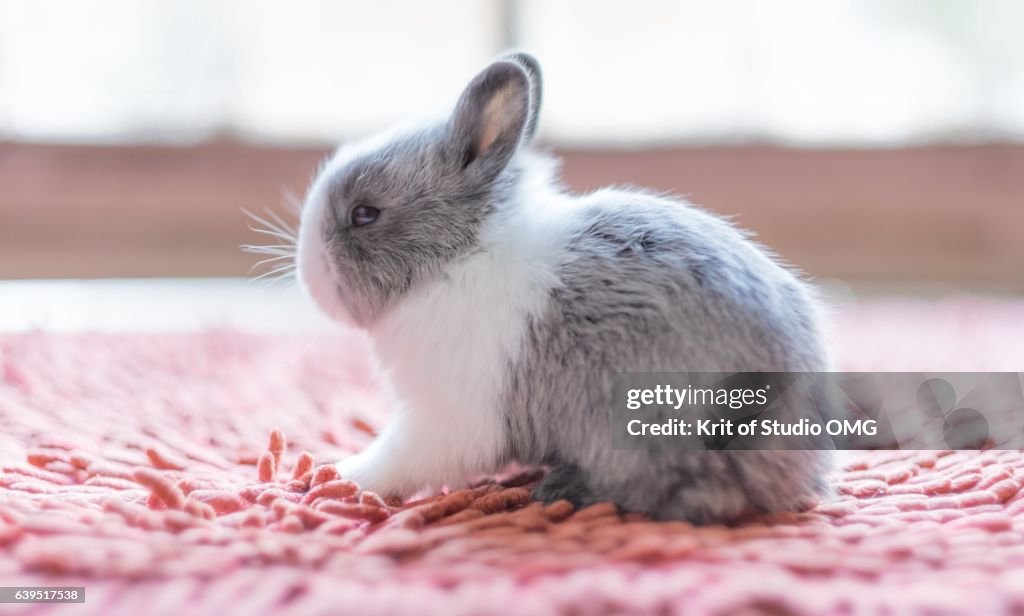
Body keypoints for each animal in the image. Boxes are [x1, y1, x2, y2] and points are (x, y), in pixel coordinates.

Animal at [294, 52, 836, 523]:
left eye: (365, 214)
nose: (307, 271)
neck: (459, 256)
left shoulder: (449, 417)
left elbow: (400, 458)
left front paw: (337, 476)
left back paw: (561, 490)